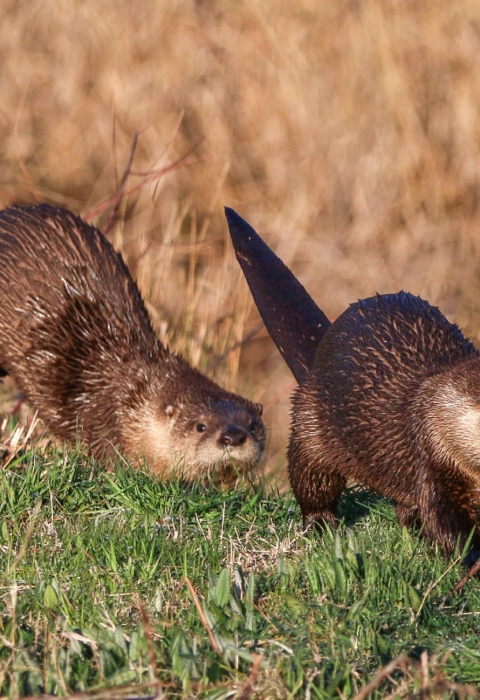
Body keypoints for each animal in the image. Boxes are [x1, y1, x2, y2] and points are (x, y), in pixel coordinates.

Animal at [225, 207, 480, 562]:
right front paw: (472, 558)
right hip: (311, 428)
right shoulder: (432, 459)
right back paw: (321, 525)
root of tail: (321, 352)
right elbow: (447, 525)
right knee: (312, 482)